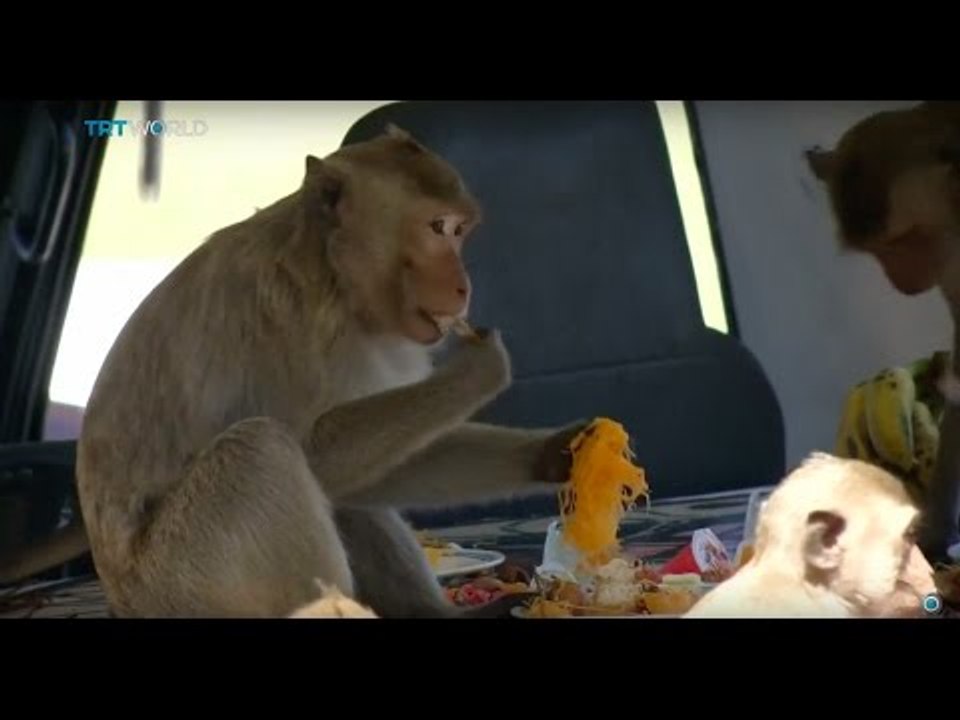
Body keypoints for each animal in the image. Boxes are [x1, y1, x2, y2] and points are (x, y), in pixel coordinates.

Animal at [0, 125, 585, 618]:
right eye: (438, 228)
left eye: (461, 231)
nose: (463, 287)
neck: (334, 273)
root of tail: (120, 598)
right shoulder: (290, 320)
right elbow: (315, 451)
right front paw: (480, 369)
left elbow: (375, 474)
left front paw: (554, 452)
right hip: (183, 583)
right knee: (260, 449)